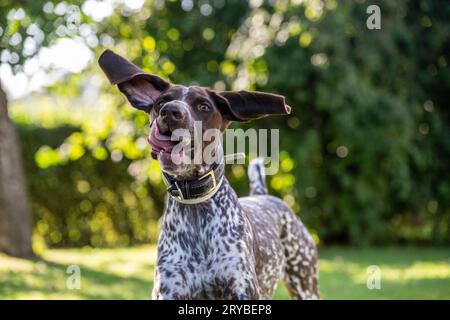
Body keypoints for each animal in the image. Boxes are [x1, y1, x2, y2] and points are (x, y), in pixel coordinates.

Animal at [98, 48, 318, 298]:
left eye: (203, 106)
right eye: (161, 102)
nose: (170, 112)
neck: (196, 208)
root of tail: (263, 195)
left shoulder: (242, 289)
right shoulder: (169, 290)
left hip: (305, 284)